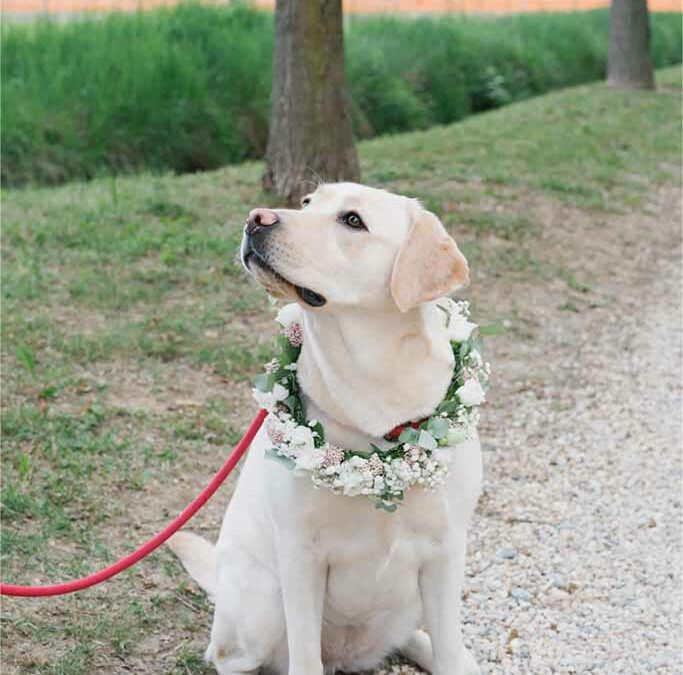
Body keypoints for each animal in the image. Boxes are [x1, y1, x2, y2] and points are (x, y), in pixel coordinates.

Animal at [169, 184, 484, 675]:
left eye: (352, 220)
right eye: (306, 203)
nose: (255, 218)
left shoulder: (446, 550)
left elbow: (449, 647)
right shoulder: (301, 557)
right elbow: (304, 660)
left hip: (409, 599)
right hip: (262, 604)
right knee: (230, 656)